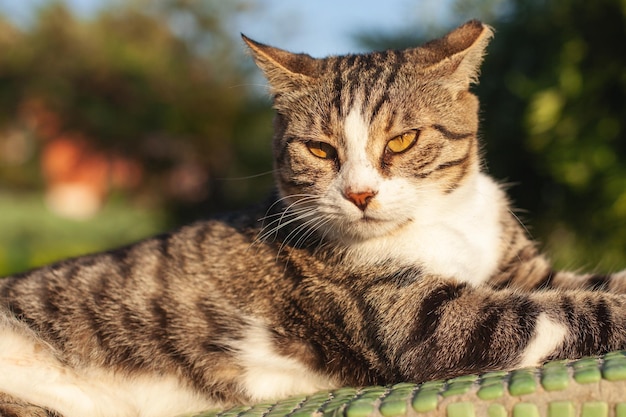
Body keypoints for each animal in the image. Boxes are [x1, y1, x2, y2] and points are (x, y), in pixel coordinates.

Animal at [1, 18, 624, 416]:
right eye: (321, 150)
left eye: (402, 140)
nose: (360, 194)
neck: (442, 223)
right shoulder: (422, 322)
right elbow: (563, 313)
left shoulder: (520, 270)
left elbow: (584, 285)